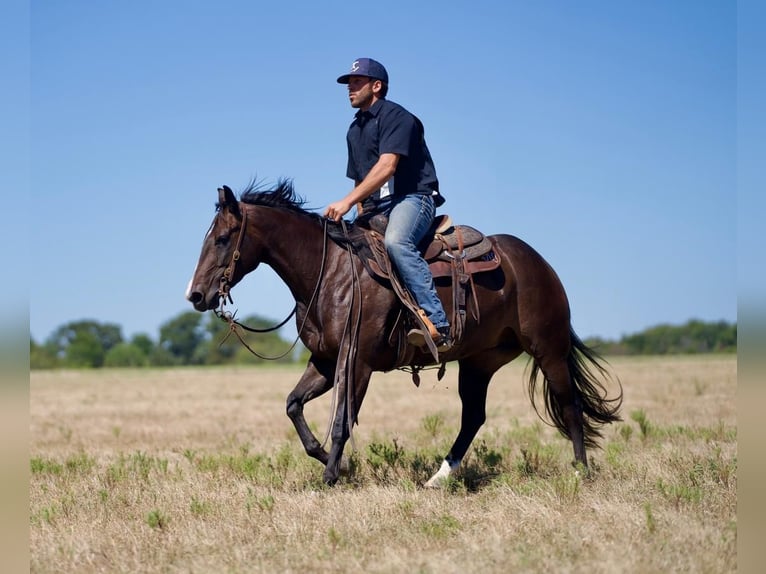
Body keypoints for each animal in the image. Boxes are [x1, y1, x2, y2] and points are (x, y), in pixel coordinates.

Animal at [186, 182, 624, 488]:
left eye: (222, 238)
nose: (196, 295)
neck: (330, 273)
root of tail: (538, 263)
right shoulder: (326, 362)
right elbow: (294, 405)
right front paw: (332, 460)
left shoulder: (357, 361)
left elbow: (343, 421)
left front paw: (330, 477)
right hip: (480, 361)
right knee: (474, 417)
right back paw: (438, 478)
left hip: (549, 349)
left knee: (569, 405)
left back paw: (581, 472)